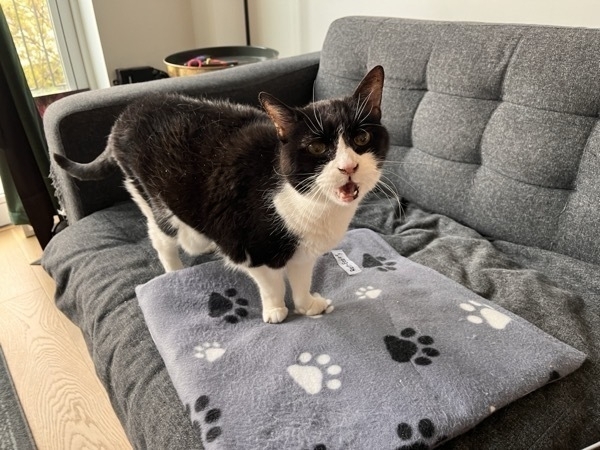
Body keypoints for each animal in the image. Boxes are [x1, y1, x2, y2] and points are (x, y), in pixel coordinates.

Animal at [52, 64, 390, 324]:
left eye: (361, 138)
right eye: (318, 147)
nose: (348, 166)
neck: (311, 203)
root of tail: (127, 113)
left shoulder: (303, 250)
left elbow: (301, 278)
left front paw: (308, 305)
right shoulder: (251, 246)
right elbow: (270, 282)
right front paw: (275, 311)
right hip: (152, 197)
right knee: (161, 236)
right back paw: (173, 270)